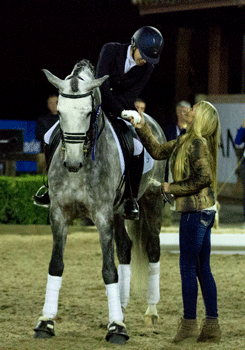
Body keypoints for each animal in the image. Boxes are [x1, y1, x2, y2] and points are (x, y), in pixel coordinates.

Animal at [33, 59, 167, 344]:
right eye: (59, 112)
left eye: (88, 113)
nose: (72, 163)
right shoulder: (59, 215)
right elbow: (56, 265)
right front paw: (46, 322)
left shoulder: (103, 216)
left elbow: (108, 269)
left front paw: (116, 327)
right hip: (119, 212)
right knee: (125, 248)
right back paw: (123, 304)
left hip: (151, 202)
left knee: (152, 248)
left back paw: (150, 311)